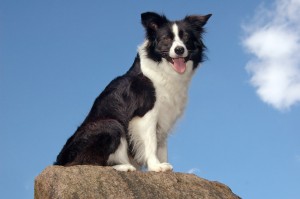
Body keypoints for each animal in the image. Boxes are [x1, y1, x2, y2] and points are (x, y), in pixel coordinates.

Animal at [55, 11, 211, 172]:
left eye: (185, 37)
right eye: (166, 38)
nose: (179, 50)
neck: (162, 69)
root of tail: (60, 161)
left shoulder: (164, 118)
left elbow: (162, 147)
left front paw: (164, 165)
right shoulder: (146, 113)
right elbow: (151, 143)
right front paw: (155, 166)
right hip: (111, 124)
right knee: (85, 163)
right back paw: (124, 166)